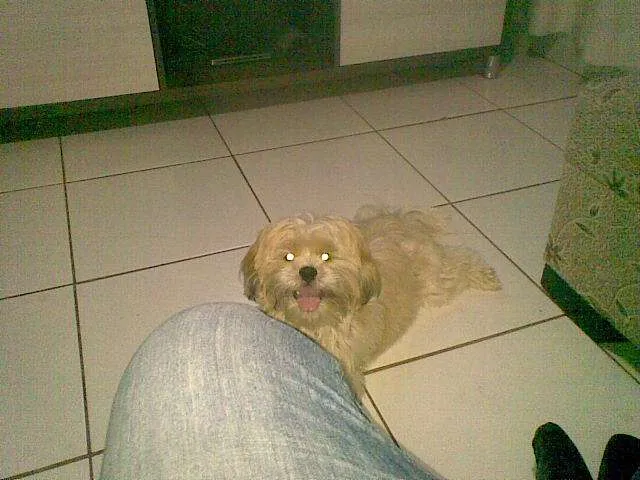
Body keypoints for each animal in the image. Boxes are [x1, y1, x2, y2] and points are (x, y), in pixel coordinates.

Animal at [240, 206, 501, 396]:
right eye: (288, 257)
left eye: (326, 256)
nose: (307, 272)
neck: (314, 324)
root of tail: (401, 223)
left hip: (435, 281)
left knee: (461, 261)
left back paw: (484, 275)